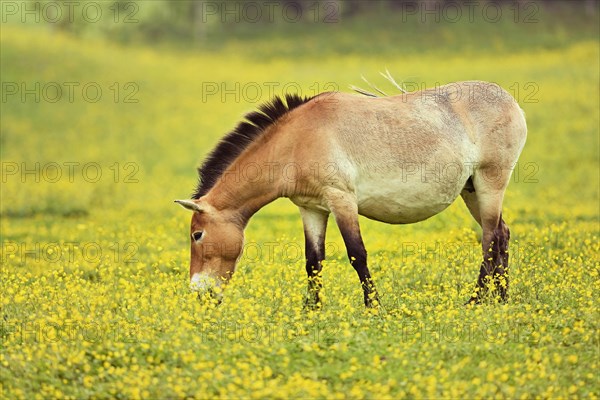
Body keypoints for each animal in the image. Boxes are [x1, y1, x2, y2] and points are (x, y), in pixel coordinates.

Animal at [176, 80, 528, 306]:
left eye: (197, 235)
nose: (198, 293)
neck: (296, 141)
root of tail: (510, 100)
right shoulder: (312, 208)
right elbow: (313, 260)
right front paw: (311, 310)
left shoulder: (341, 200)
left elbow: (357, 254)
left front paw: (374, 307)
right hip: (471, 191)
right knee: (501, 233)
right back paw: (502, 298)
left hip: (490, 184)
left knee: (490, 239)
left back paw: (476, 301)